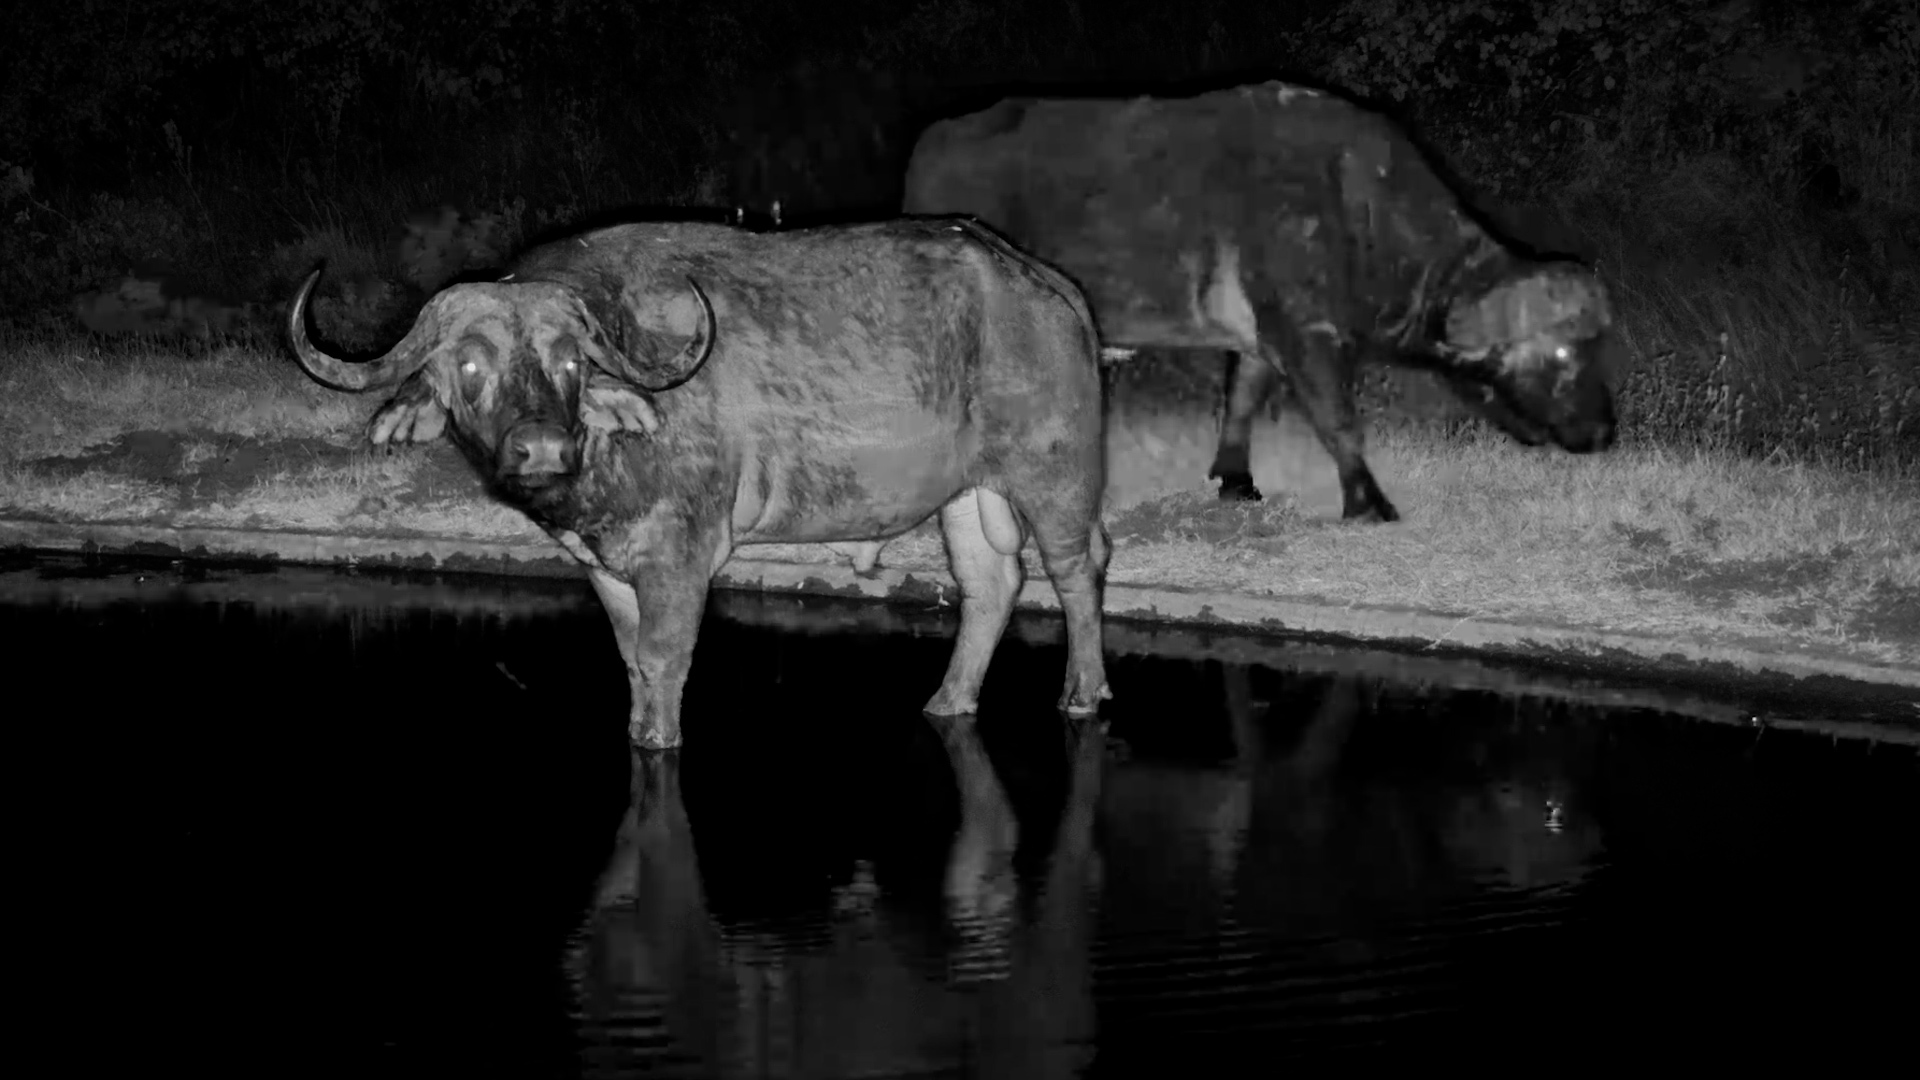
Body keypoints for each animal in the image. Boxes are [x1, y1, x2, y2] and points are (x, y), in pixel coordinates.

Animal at [286, 216, 1114, 749]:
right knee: (990, 584)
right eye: (467, 363)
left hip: (1057, 474)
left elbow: (664, 659)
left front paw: (656, 742)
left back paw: (1082, 692)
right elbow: (630, 659)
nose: (542, 444)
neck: (608, 460)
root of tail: (1050, 289)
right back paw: (948, 702)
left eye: (571, 361)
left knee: (1078, 569)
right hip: (969, 494)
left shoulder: (679, 558)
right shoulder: (606, 567)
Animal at [903, 80, 1620, 523]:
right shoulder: (1310, 338)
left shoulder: (1263, 341)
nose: (1604, 433)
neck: (1357, 212)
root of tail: (929, 149)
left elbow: (1242, 400)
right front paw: (1368, 502)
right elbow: (1339, 421)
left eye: (1596, 347)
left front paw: (1235, 479)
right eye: (1561, 352)